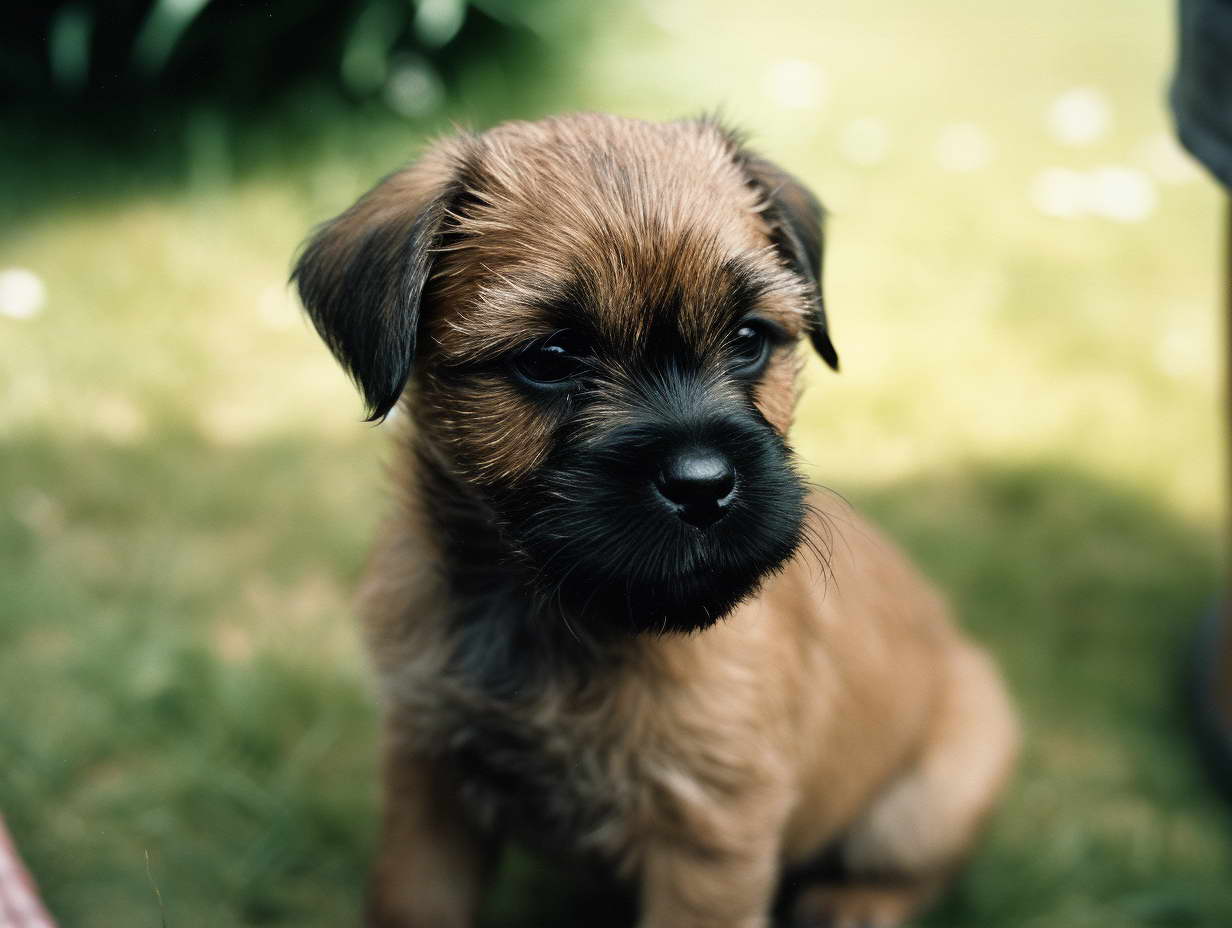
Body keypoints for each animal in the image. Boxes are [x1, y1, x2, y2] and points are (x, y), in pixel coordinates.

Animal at [293, 112, 1015, 921]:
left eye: (749, 338)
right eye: (551, 358)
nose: (703, 486)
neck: (549, 624)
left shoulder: (707, 832)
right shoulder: (428, 785)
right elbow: (412, 902)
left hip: (940, 787)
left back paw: (855, 904)